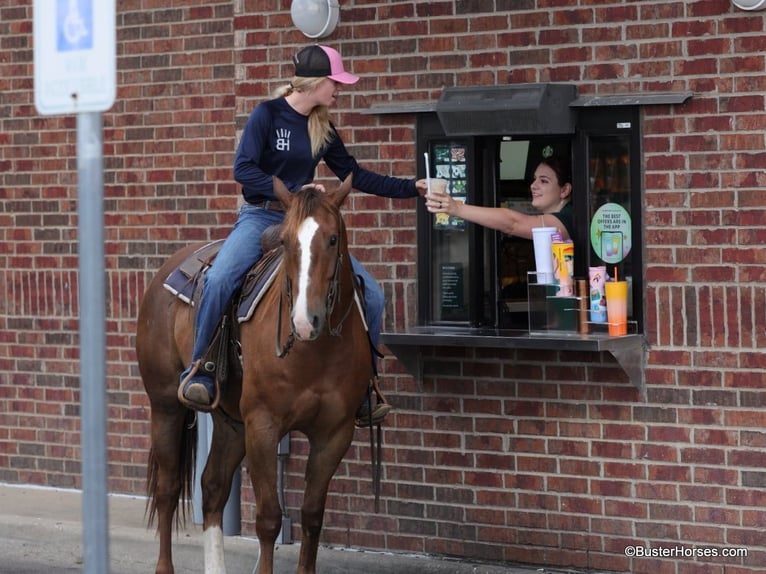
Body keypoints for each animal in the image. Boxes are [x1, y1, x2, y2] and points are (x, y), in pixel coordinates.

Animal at [139, 177, 378, 574]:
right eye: (286, 242)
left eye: (333, 239)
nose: (305, 321)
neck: (314, 351)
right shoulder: (264, 425)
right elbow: (268, 518)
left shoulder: (334, 433)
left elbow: (312, 516)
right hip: (166, 407)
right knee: (168, 489)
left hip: (232, 422)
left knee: (213, 487)